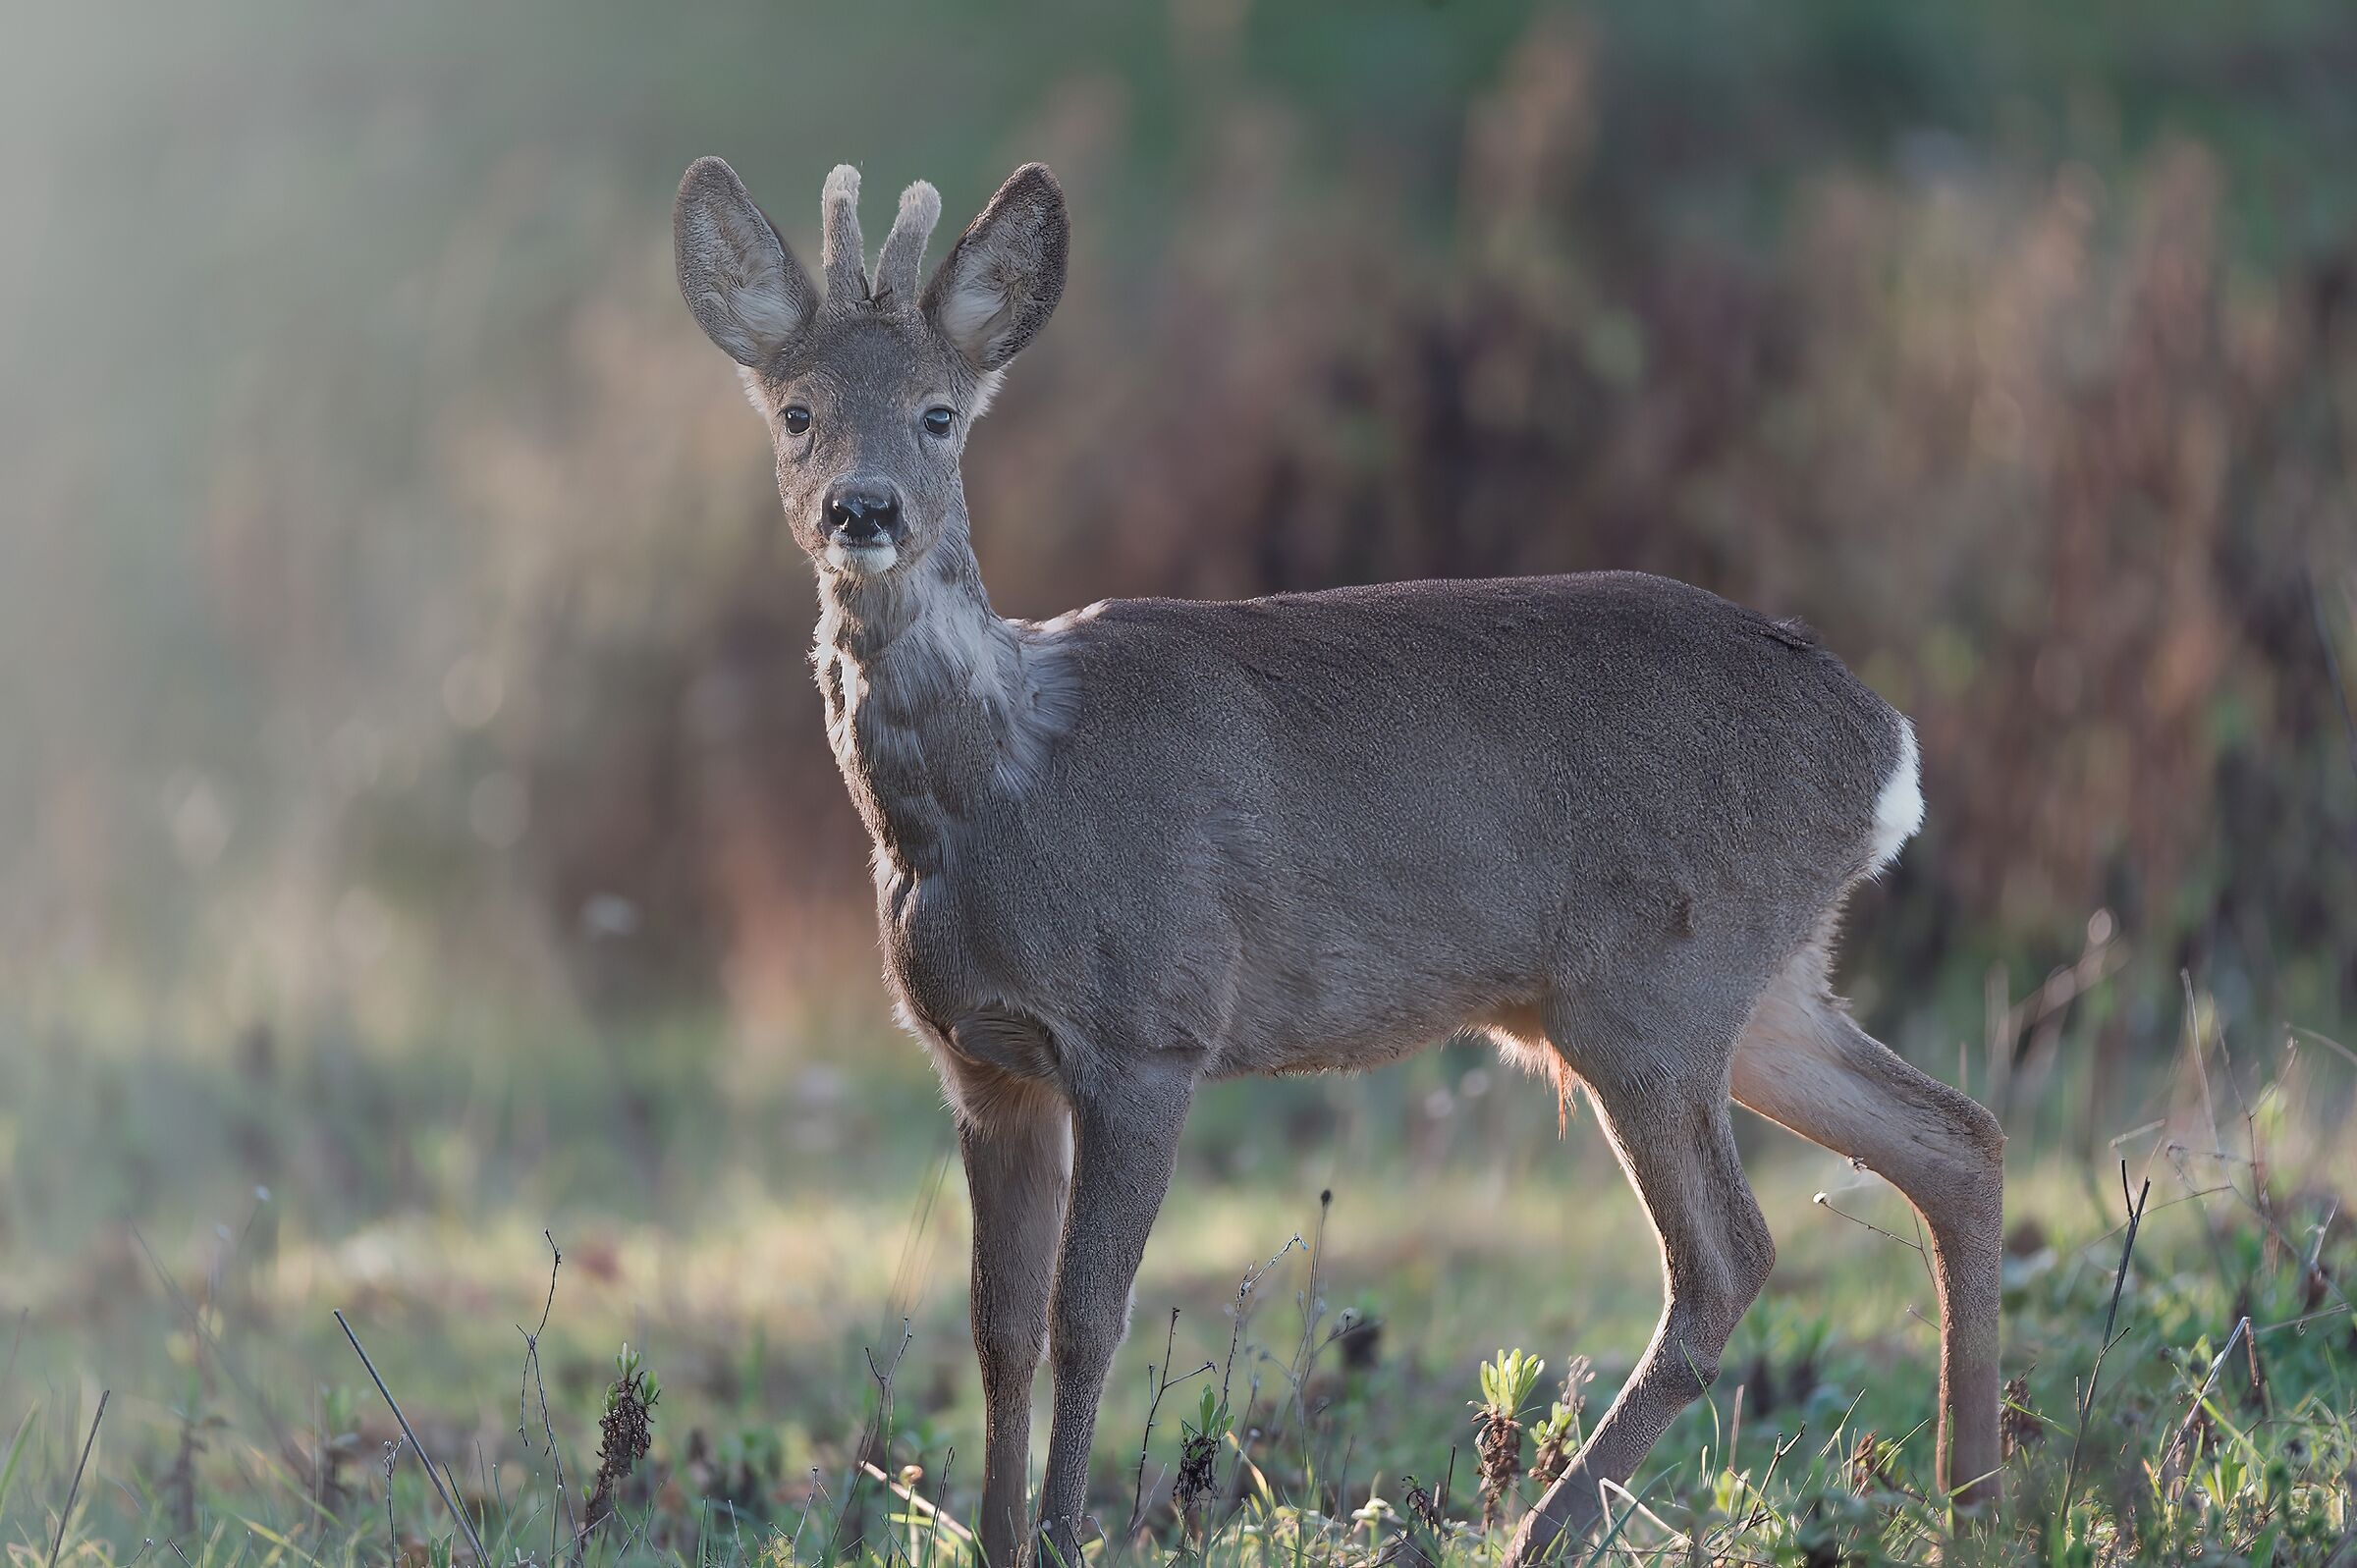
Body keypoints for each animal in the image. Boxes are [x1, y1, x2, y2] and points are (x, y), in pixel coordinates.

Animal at [671, 156, 2005, 1567]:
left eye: (939, 413)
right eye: (798, 412)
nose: (861, 509)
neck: (998, 784)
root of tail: (1887, 744)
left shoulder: (1149, 1026)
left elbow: (1086, 1320)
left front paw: (1066, 1536)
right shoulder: (984, 1064)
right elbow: (996, 1330)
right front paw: (994, 1537)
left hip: (1653, 988)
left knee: (1731, 1257)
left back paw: (1547, 1531)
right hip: (1762, 984)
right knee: (1954, 1141)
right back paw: (1974, 1500)